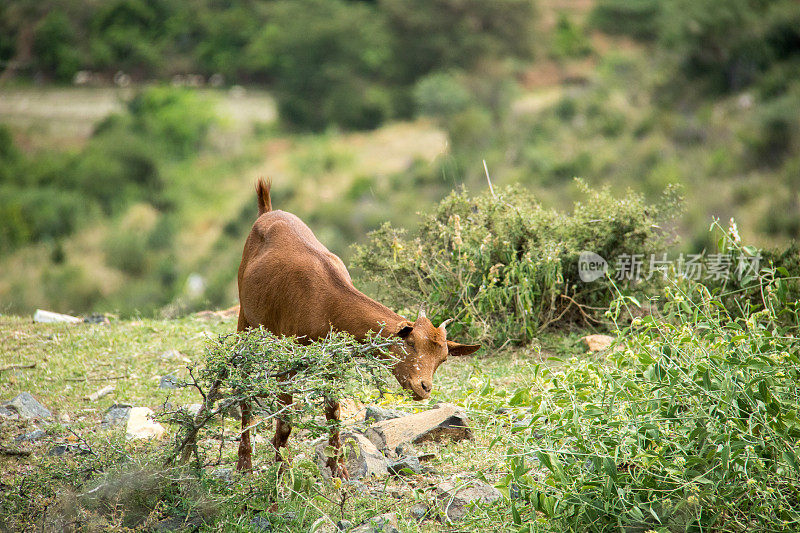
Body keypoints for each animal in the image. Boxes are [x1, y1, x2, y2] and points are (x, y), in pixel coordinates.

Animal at [234, 179, 478, 474]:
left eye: (442, 358)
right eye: (409, 343)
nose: (424, 388)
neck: (325, 300)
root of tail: (266, 212)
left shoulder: (332, 359)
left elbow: (333, 412)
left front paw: (338, 468)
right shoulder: (288, 355)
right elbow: (286, 421)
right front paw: (281, 471)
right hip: (245, 318)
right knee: (242, 384)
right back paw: (244, 463)